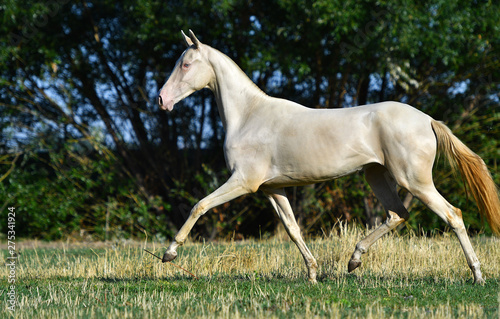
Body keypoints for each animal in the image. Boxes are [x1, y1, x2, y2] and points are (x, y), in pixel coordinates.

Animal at [158, 30, 498, 284]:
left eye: (186, 64)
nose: (162, 100)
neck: (249, 116)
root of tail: (427, 119)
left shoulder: (244, 181)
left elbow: (200, 205)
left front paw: (169, 253)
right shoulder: (272, 189)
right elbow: (293, 229)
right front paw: (312, 273)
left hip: (414, 181)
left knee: (452, 215)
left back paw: (477, 275)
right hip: (376, 175)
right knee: (397, 214)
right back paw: (353, 260)